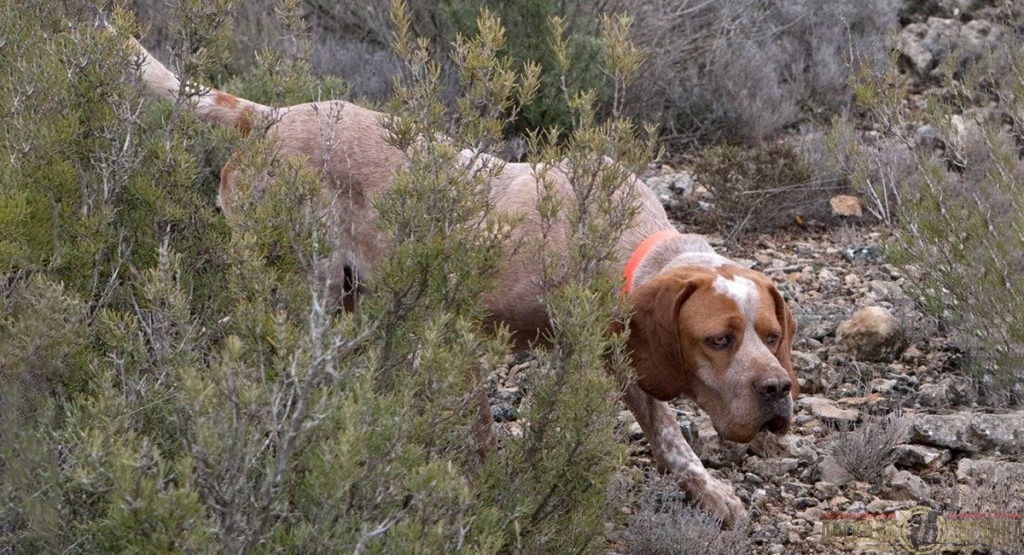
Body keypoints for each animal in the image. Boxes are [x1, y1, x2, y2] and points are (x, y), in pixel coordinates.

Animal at [125, 32, 798, 528]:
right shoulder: (471, 329)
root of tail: (269, 116)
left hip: (343, 295)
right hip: (306, 287)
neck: (617, 238)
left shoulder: (621, 353)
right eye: (719, 339)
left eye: (771, 335)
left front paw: (710, 493)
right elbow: (479, 431)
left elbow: (669, 437)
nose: (778, 391)